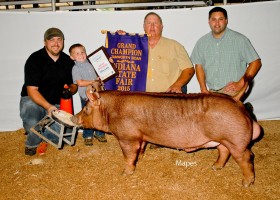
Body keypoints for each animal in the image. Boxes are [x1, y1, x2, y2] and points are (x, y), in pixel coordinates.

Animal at [71, 86, 262, 188]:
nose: (74, 117)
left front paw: (125, 172)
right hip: (223, 140)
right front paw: (141, 158)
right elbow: (141, 148)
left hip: (235, 141)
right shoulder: (142, 136)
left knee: (246, 157)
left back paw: (246, 183)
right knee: (223, 152)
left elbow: (129, 155)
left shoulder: (127, 137)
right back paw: (215, 167)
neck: (111, 110)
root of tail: (237, 102)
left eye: (86, 108)